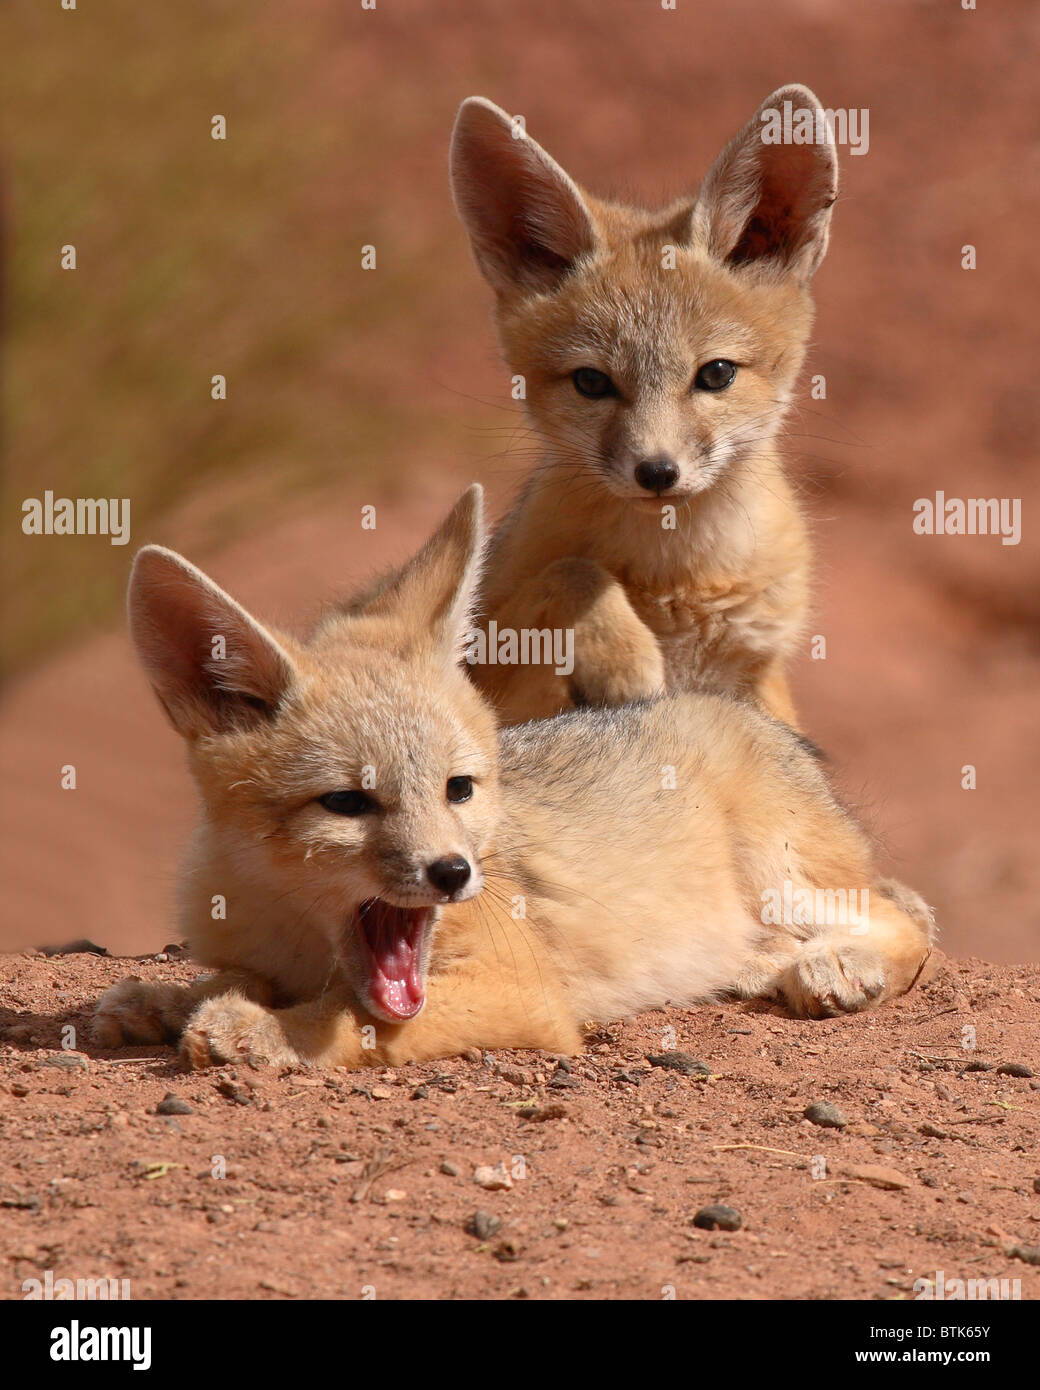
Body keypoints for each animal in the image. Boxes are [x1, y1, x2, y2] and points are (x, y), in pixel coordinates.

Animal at [93, 487, 933, 1070]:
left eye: (458, 788)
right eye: (346, 803)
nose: (453, 873)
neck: (306, 939)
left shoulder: (523, 989)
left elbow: (367, 1019)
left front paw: (262, 1030)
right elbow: (227, 979)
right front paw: (161, 999)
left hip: (780, 874)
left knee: (903, 920)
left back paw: (837, 964)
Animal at [450, 85, 838, 728]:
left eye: (716, 374)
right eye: (591, 382)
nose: (657, 473)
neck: (679, 582)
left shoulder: (762, 673)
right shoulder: (485, 666)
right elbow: (574, 569)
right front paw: (623, 654)